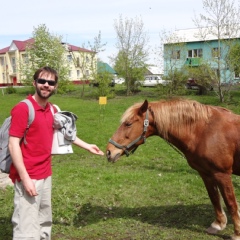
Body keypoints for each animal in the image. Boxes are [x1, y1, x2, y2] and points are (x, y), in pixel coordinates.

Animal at [106, 98, 240, 239]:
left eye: (128, 123)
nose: (109, 152)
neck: (204, 131)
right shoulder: (206, 173)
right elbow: (214, 198)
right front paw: (218, 224)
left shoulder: (222, 175)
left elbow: (231, 204)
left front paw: (237, 233)